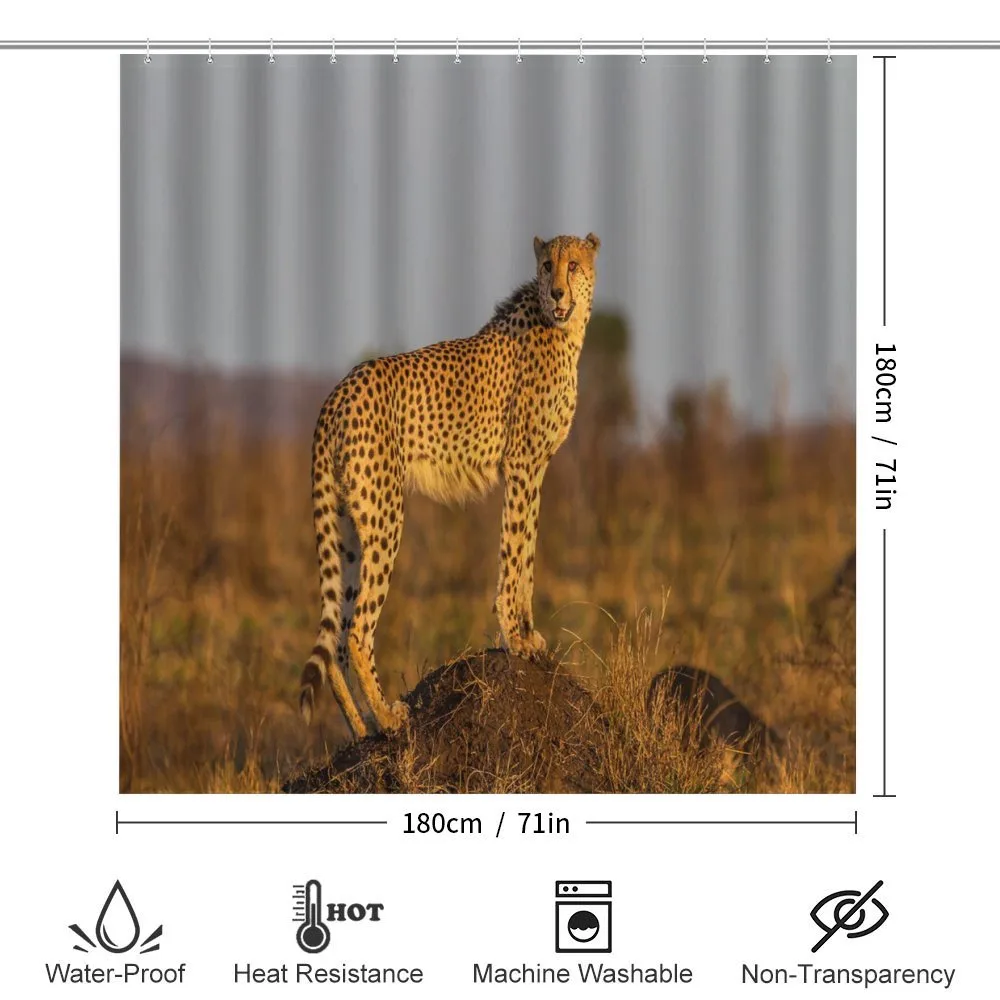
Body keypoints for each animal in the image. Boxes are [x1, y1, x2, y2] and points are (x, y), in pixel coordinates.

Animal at [299, 233, 601, 739]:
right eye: (546, 265)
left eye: (573, 265)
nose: (557, 291)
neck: (566, 328)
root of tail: (339, 389)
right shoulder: (521, 465)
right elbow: (514, 551)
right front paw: (514, 638)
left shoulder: (536, 469)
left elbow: (528, 553)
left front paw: (528, 635)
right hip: (384, 516)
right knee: (358, 629)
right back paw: (388, 715)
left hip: (347, 526)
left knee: (336, 635)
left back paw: (362, 727)